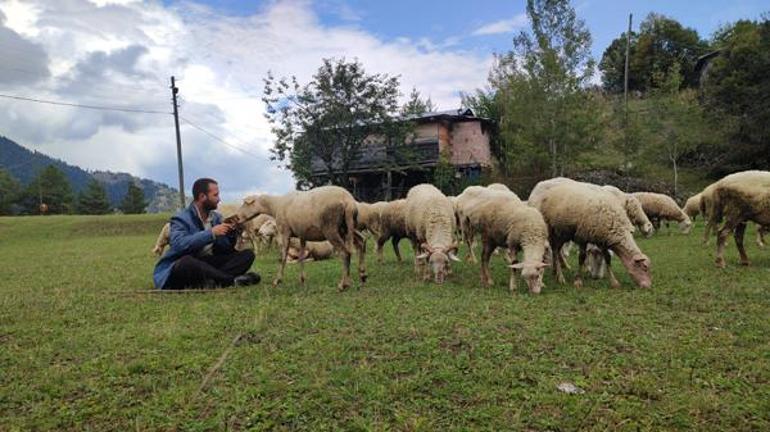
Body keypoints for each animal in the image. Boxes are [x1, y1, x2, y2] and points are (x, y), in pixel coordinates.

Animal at [230, 186, 364, 290]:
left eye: (244, 204)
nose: (236, 217)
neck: (276, 205)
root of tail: (348, 200)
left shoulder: (284, 232)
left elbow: (283, 257)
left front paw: (277, 280)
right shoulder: (302, 234)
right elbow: (300, 258)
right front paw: (302, 279)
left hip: (331, 228)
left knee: (345, 253)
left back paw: (343, 284)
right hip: (348, 227)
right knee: (362, 241)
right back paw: (362, 276)